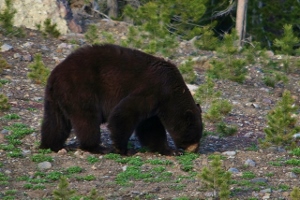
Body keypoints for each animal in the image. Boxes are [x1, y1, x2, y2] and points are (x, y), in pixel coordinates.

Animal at [39, 44, 203, 155]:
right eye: (193, 134)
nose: (195, 149)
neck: (171, 90)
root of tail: (55, 74)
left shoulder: (156, 106)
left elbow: (150, 127)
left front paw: (169, 150)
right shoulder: (151, 90)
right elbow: (124, 113)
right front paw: (123, 149)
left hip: (55, 98)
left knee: (55, 122)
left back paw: (51, 145)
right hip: (80, 89)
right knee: (87, 119)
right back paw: (96, 147)